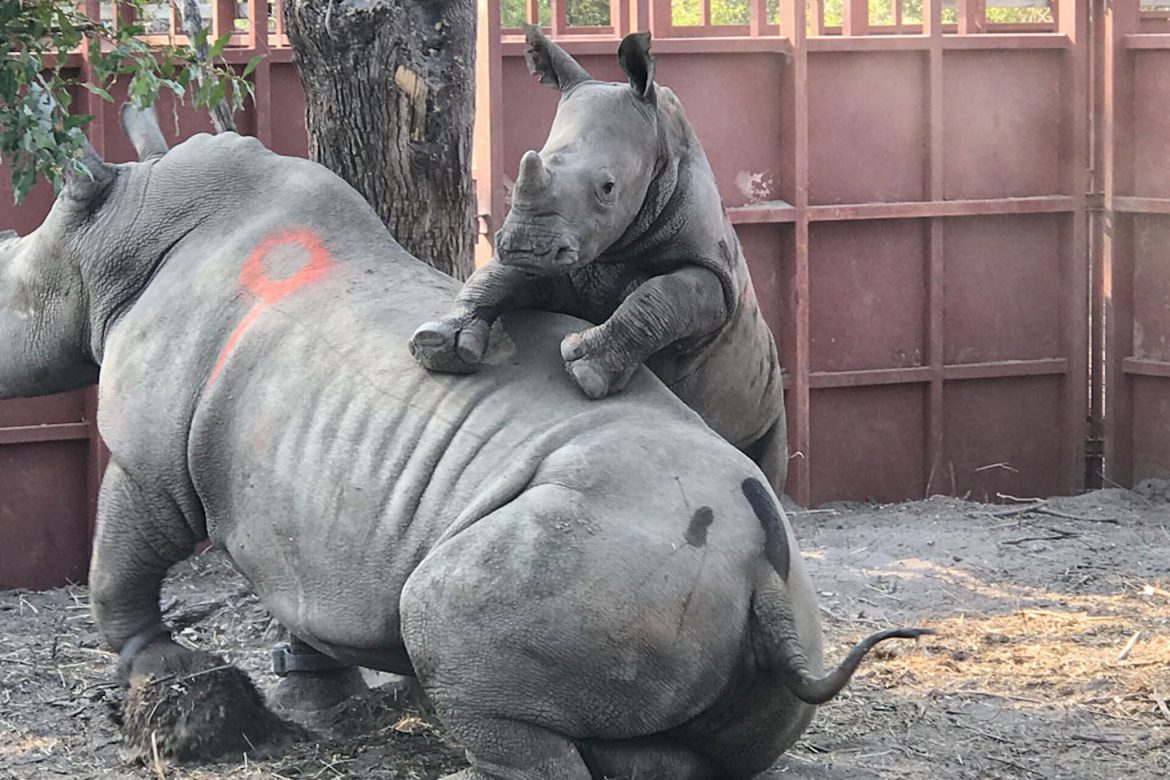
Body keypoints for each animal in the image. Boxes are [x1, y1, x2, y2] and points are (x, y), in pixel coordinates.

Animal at [0, 105, 927, 778]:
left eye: (6, 286)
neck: (118, 237)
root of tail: (758, 572)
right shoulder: (303, 500)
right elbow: (302, 590)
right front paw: (321, 707)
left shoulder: (152, 461)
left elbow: (123, 556)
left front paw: (156, 669)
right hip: (762, 587)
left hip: (604, 546)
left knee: (452, 626)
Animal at [410, 27, 789, 496]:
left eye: (608, 187)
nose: (523, 245)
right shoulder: (564, 261)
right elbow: (496, 277)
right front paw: (438, 345)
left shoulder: (717, 283)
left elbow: (660, 296)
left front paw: (586, 369)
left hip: (772, 396)